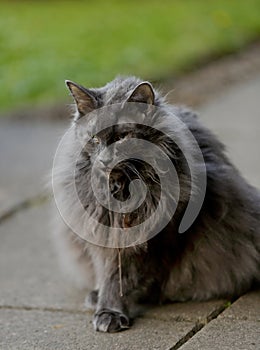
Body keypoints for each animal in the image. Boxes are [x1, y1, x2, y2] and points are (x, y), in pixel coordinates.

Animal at [51, 75, 260, 332]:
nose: (104, 159)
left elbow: (122, 278)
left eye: (122, 137)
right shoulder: (102, 236)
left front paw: (113, 310)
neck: (122, 191)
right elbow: (108, 273)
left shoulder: (156, 239)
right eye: (95, 139)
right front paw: (106, 306)